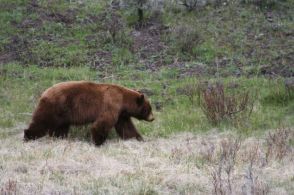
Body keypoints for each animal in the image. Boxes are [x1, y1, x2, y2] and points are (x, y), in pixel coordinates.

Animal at [24, 80, 155, 145]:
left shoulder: (121, 114)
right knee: (42, 122)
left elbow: (126, 127)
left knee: (61, 128)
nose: (153, 118)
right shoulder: (112, 104)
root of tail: (44, 92)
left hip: (63, 114)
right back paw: (28, 136)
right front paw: (98, 142)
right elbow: (103, 123)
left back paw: (60, 138)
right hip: (54, 107)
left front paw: (138, 139)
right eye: (149, 108)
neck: (123, 100)